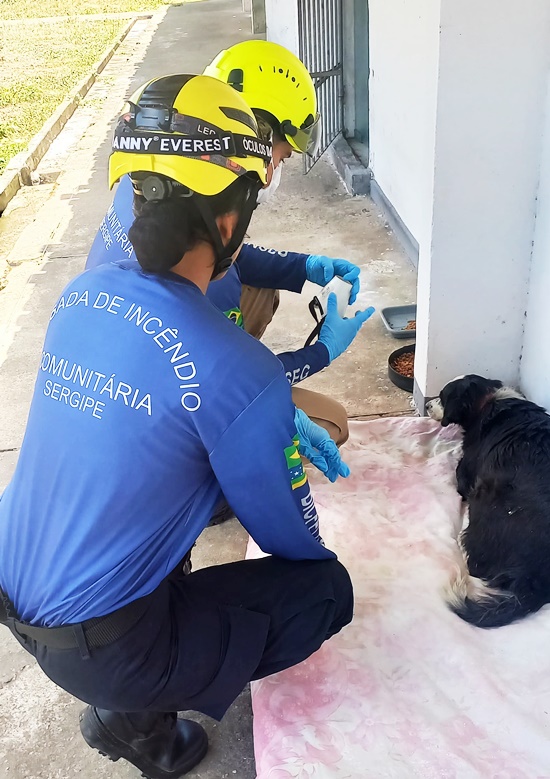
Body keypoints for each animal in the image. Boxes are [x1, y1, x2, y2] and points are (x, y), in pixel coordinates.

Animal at [430, 374, 550, 632]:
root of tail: (536, 580)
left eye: (443, 397)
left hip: (486, 491)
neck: (486, 400)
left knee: (476, 566)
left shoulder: (466, 472)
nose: (427, 405)